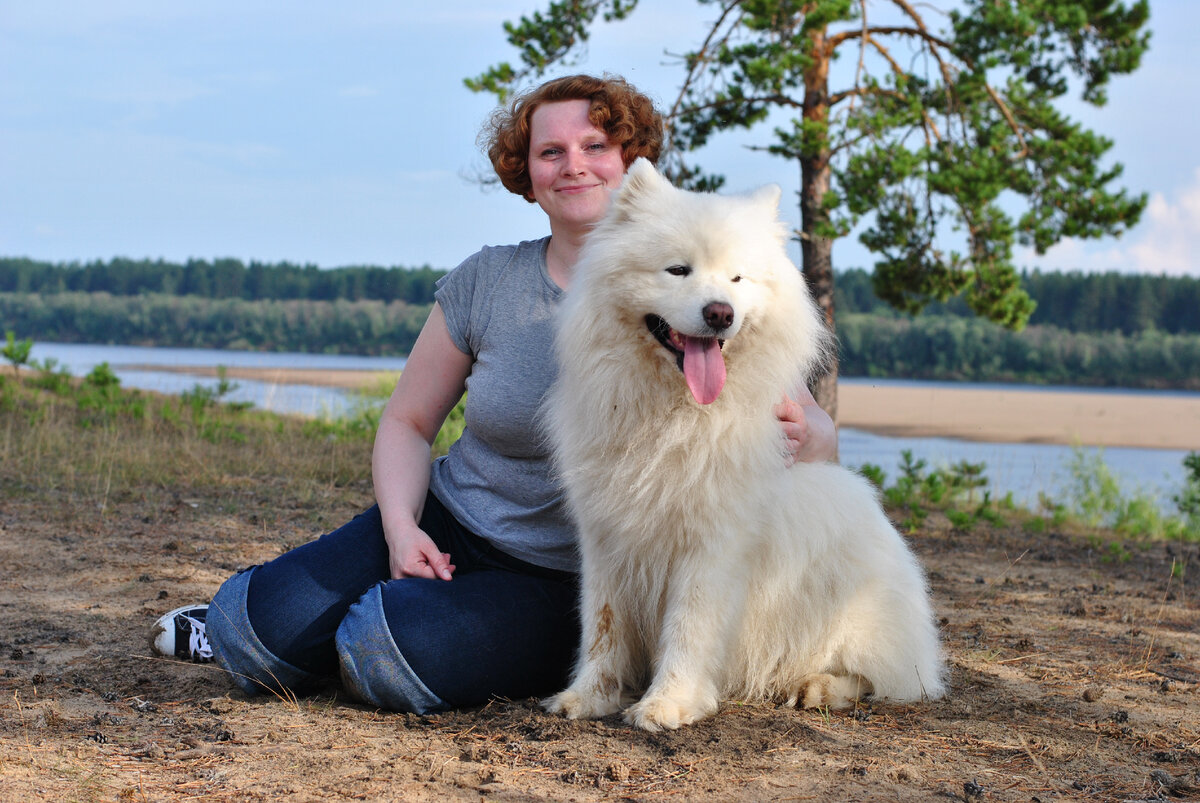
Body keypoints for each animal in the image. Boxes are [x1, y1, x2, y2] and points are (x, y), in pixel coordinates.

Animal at [544, 159, 945, 729]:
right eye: (677, 270)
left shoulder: (712, 545)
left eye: (737, 278)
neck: (675, 417)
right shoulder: (606, 539)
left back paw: (819, 687)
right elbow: (602, 628)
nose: (720, 313)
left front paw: (668, 703)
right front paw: (589, 697)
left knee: (880, 679)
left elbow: (688, 627)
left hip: (855, 616)